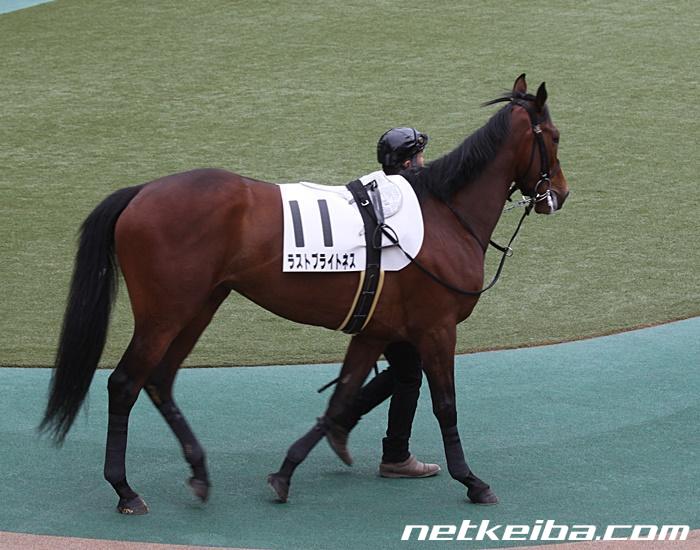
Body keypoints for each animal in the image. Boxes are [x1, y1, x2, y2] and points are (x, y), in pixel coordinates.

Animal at [40, 74, 569, 514]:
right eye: (556, 137)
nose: (560, 194)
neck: (444, 214)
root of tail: (141, 191)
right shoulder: (436, 329)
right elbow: (445, 405)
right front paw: (472, 481)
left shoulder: (376, 330)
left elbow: (344, 397)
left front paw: (286, 472)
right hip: (164, 313)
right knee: (124, 383)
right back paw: (125, 489)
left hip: (199, 307)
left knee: (160, 380)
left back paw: (199, 472)